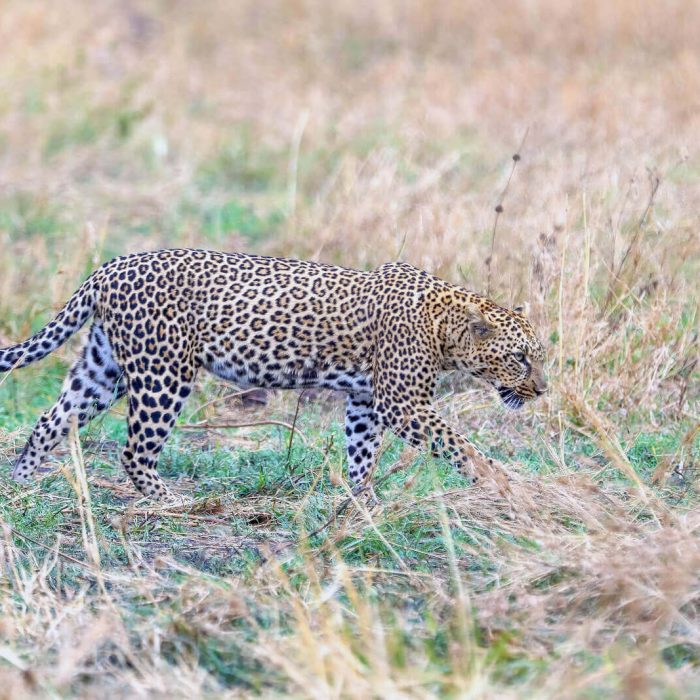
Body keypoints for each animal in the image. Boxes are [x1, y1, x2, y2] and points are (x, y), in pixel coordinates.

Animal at [0, 249, 548, 500]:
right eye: (521, 358)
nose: (542, 389)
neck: (446, 324)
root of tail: (108, 268)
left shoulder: (367, 402)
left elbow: (362, 453)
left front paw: (362, 500)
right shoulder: (402, 403)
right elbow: (459, 444)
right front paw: (500, 482)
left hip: (104, 368)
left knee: (51, 420)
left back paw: (20, 487)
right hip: (163, 373)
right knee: (134, 450)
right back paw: (168, 501)